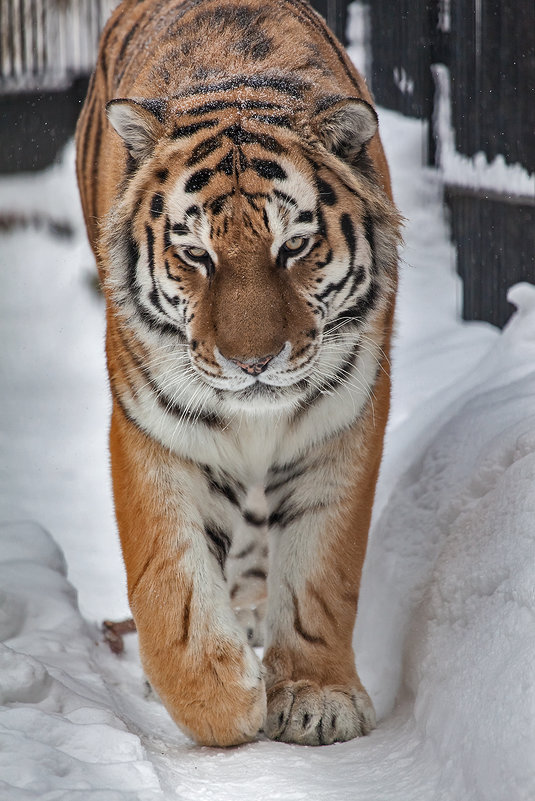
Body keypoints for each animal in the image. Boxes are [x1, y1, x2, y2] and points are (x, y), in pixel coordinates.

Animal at [76, 0, 402, 744]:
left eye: (296, 246)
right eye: (196, 255)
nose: (252, 363)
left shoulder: (341, 422)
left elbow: (320, 570)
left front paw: (316, 695)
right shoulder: (155, 427)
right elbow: (170, 583)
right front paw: (223, 699)